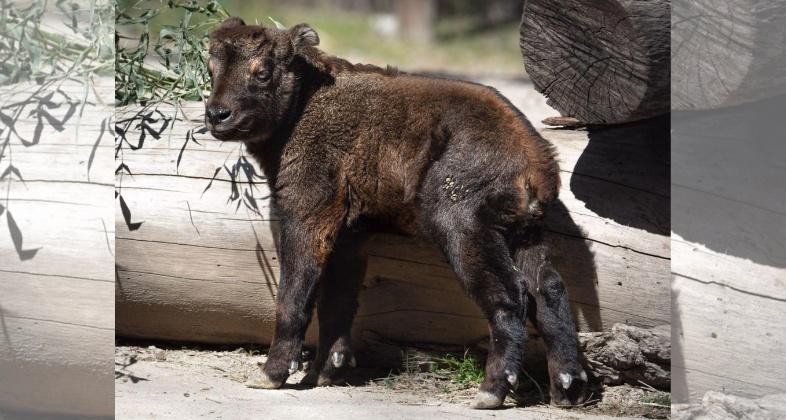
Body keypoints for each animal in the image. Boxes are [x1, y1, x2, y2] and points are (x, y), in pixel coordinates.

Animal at [205, 18, 584, 408]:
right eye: (210, 69)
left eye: (262, 72)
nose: (217, 114)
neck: (304, 104)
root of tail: (536, 162)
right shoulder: (350, 233)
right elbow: (337, 299)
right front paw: (326, 372)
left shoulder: (307, 215)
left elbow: (294, 294)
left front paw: (271, 374)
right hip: (525, 235)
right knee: (548, 289)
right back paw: (566, 388)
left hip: (463, 227)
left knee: (510, 295)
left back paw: (491, 391)